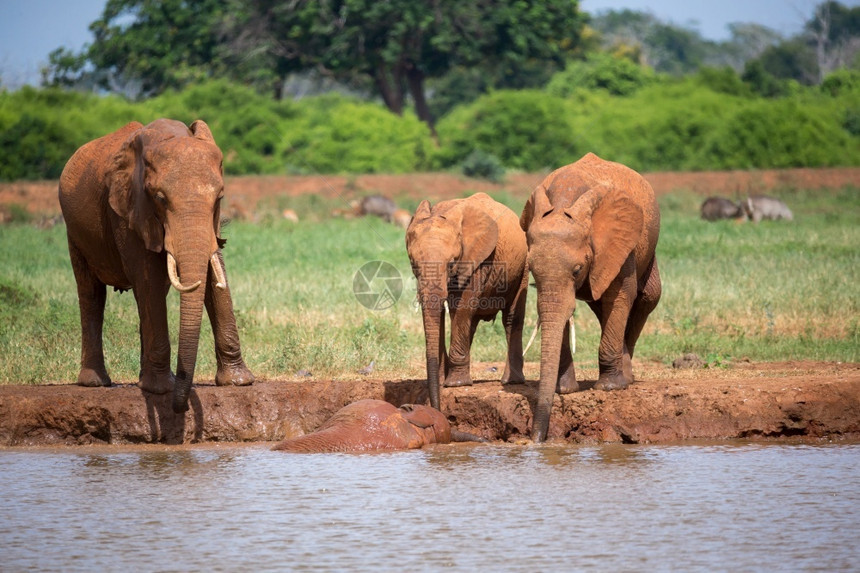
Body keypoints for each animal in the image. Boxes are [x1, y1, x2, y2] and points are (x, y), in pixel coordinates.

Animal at [59, 117, 254, 412]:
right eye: (160, 199)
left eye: (220, 197)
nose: (180, 407)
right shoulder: (127, 208)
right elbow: (147, 276)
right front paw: (162, 390)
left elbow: (212, 273)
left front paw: (238, 382)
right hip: (75, 233)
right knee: (91, 293)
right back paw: (96, 382)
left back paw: (144, 380)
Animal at [520, 153, 660, 442]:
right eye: (532, 272)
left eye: (577, 270)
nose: (536, 439)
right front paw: (564, 390)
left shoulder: (618, 243)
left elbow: (621, 295)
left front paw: (609, 389)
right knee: (600, 306)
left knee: (646, 298)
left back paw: (625, 380)